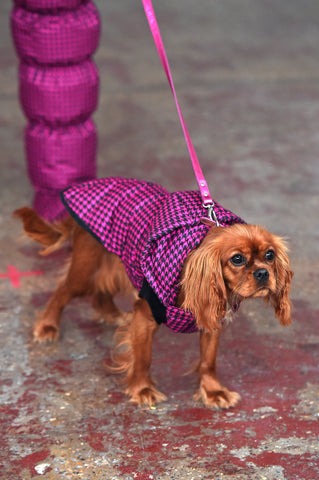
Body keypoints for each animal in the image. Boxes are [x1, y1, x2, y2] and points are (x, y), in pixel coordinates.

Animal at [15, 177, 296, 408]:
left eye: (269, 255)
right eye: (237, 259)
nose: (263, 273)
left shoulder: (211, 317)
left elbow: (209, 360)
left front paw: (213, 391)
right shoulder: (145, 313)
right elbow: (143, 358)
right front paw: (143, 390)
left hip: (117, 264)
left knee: (101, 290)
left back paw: (109, 313)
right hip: (86, 270)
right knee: (62, 291)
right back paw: (47, 325)